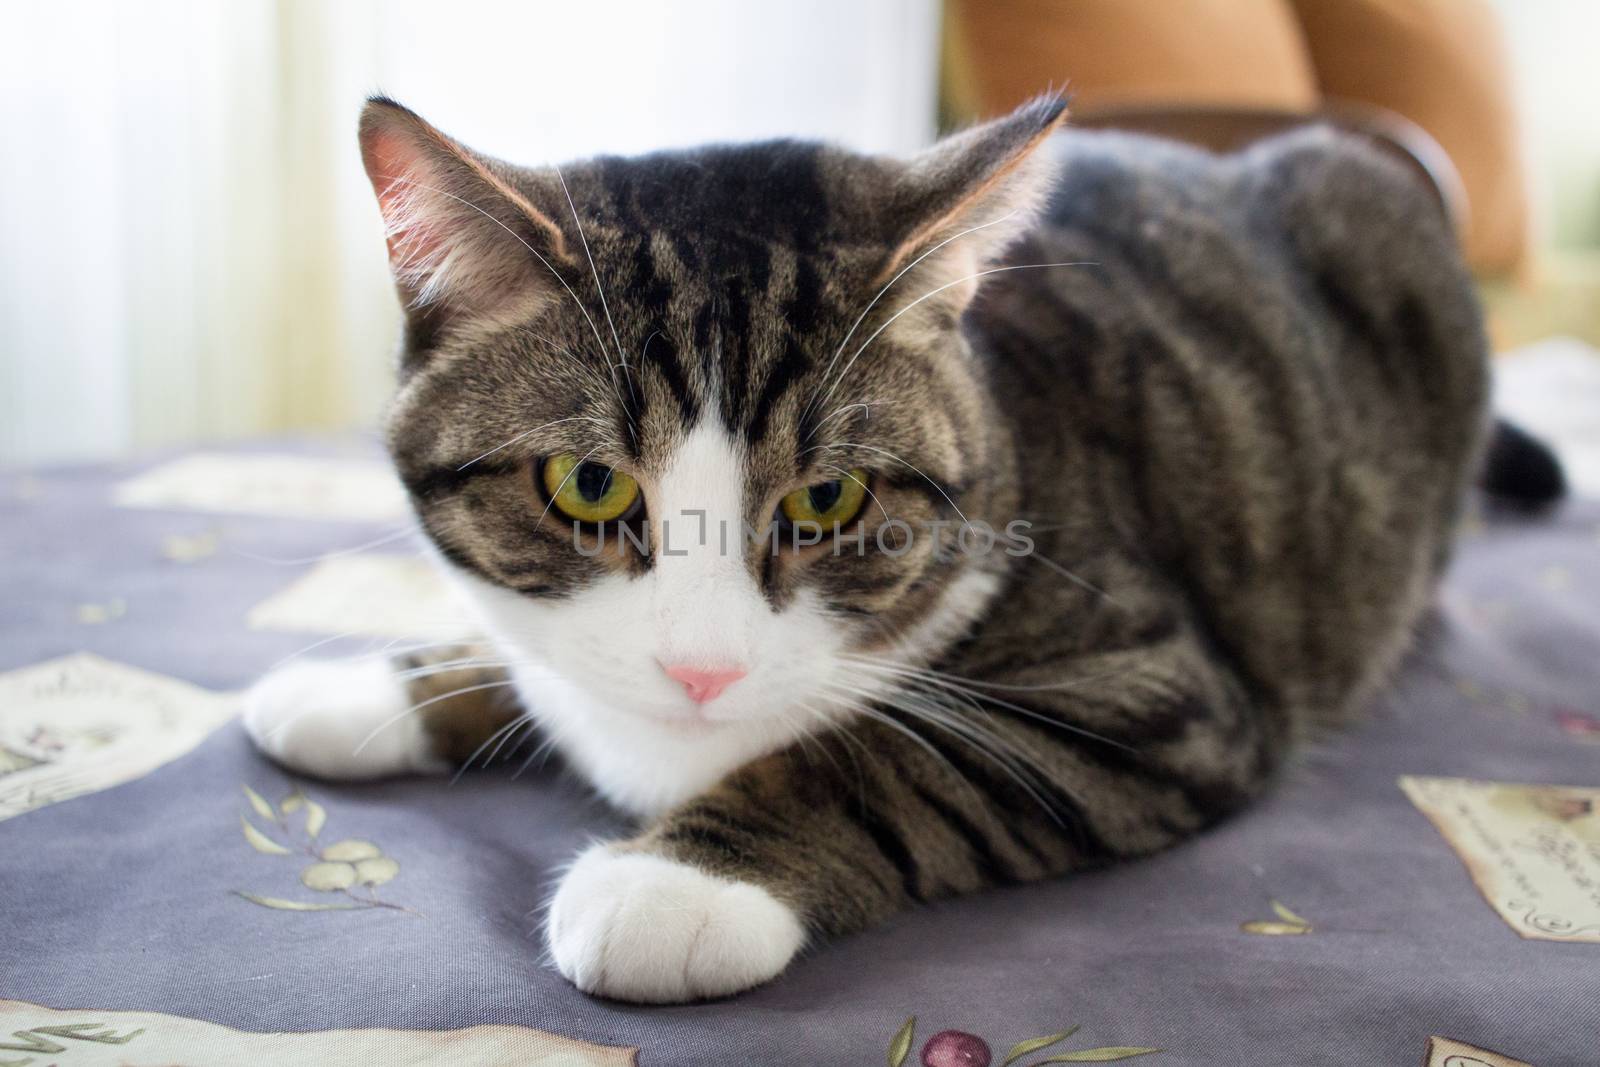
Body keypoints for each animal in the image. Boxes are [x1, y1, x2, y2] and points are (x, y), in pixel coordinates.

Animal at [240, 91, 1561, 1004]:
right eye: (588, 483)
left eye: (828, 498)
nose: (703, 670)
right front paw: (374, 682)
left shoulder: (1153, 691)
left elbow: (891, 756)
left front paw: (679, 880)